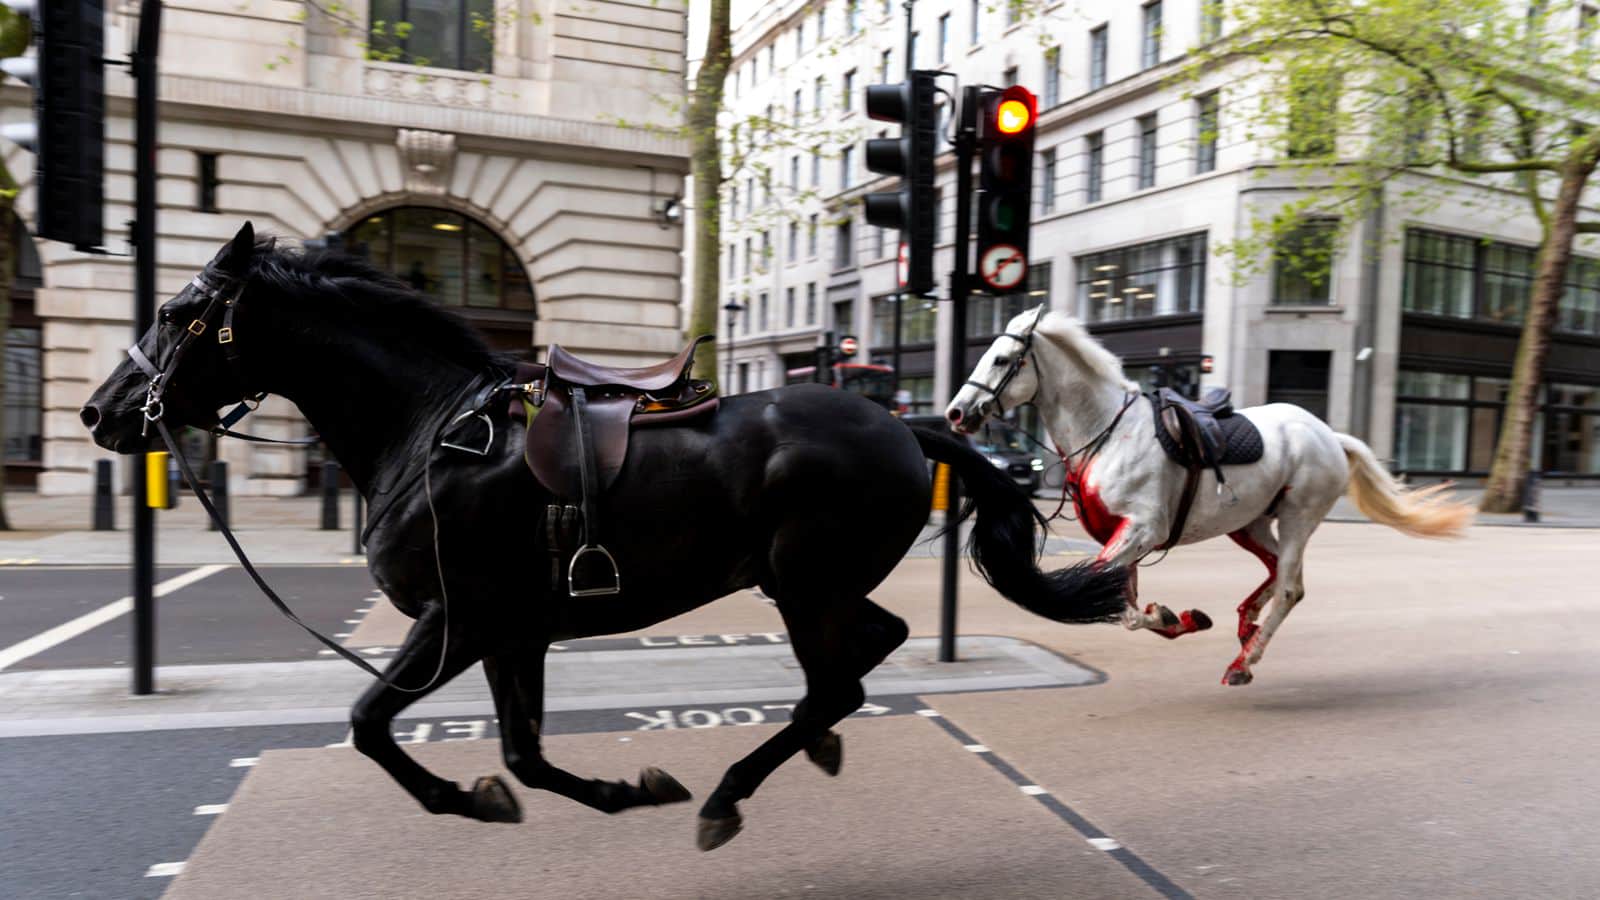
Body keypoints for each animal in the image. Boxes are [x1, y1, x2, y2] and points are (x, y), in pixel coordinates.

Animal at [84, 222, 1126, 845]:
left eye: (176, 312)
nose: (102, 413)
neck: (430, 430)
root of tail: (906, 426)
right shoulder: (512, 633)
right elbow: (523, 754)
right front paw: (617, 790)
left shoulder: (457, 619)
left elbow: (371, 723)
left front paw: (461, 798)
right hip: (809, 584)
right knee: (870, 650)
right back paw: (808, 748)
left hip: (803, 583)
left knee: (839, 678)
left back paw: (732, 792)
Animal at [934, 305, 1472, 679]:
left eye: (1003, 358)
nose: (956, 413)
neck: (1108, 432)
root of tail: (1328, 434)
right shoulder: (1125, 537)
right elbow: (1124, 605)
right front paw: (1178, 617)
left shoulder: (1141, 529)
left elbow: (1119, 603)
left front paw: (1173, 616)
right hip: (1251, 523)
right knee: (1277, 573)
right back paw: (1246, 625)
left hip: (1298, 516)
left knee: (1290, 587)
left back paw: (1243, 662)